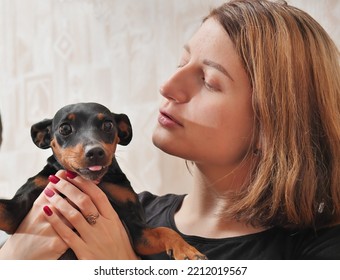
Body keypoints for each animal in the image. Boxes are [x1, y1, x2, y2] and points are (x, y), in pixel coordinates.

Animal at [0, 103, 206, 260]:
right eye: (65, 128)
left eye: (108, 125)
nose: (95, 152)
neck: (94, 181)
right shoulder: (15, 213)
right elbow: (4, 207)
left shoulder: (138, 233)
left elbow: (165, 230)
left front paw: (187, 251)